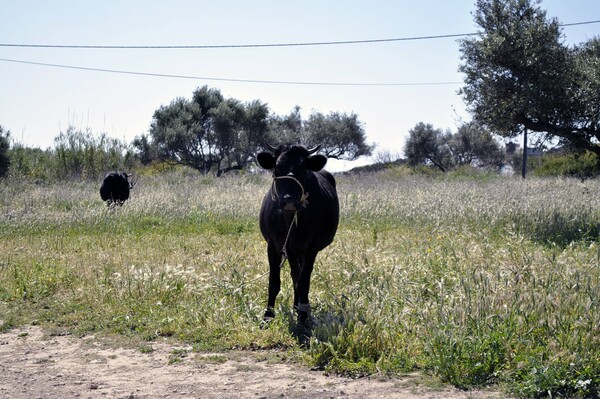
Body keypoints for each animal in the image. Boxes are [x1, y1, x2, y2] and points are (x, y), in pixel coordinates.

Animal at [255, 144, 338, 324]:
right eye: (276, 168)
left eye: (304, 169)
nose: (289, 201)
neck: (289, 220)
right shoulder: (273, 246)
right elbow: (274, 282)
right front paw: (268, 315)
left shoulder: (311, 248)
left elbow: (304, 282)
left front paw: (303, 316)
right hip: (291, 251)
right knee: (294, 274)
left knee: (298, 277)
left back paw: (299, 306)